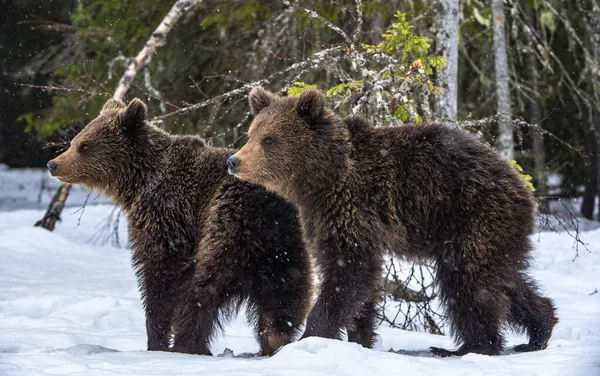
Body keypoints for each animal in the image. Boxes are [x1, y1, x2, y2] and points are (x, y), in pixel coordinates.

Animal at [48, 97, 312, 356]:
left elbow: (160, 273)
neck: (138, 182)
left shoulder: (167, 215)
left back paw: (189, 344)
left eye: (84, 145)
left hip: (229, 223)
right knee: (289, 290)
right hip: (287, 244)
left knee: (205, 286)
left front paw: (156, 340)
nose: (53, 164)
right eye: (73, 141)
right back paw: (274, 338)